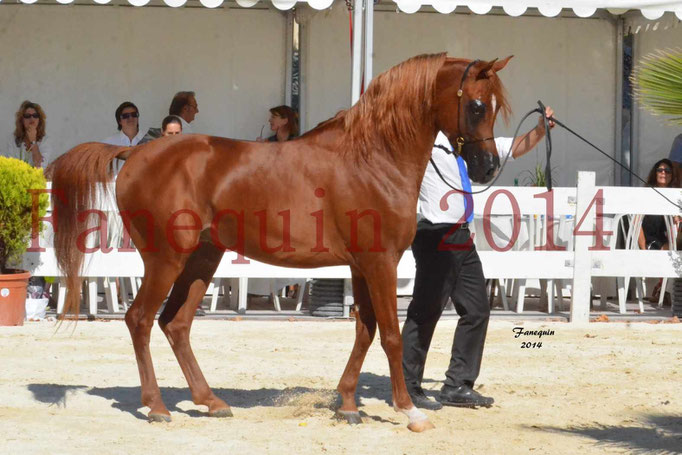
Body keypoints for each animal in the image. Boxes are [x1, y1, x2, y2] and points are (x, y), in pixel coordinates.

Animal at [50, 52, 508, 432]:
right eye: (476, 106)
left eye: (496, 106)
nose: (487, 168)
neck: (372, 157)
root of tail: (136, 154)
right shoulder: (381, 262)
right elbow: (392, 335)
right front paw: (409, 410)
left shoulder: (362, 265)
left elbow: (365, 329)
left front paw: (347, 405)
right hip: (166, 259)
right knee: (140, 320)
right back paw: (158, 407)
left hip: (202, 258)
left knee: (175, 324)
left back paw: (210, 401)